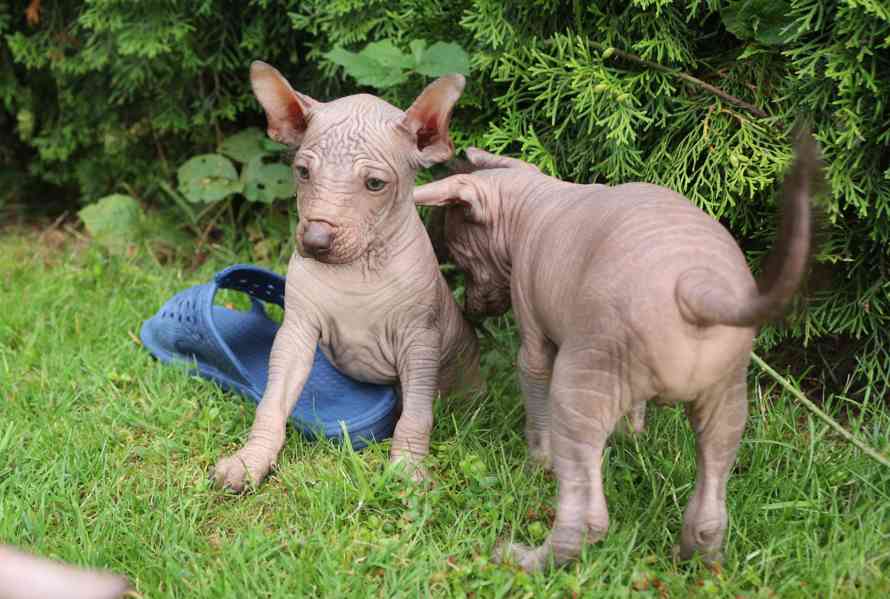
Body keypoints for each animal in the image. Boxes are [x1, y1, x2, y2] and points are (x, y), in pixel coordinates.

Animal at [212, 63, 482, 490]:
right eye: (303, 172)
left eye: (375, 184)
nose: (315, 239)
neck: (357, 271)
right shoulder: (297, 332)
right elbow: (272, 402)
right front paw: (250, 459)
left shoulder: (420, 342)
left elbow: (416, 414)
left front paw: (409, 467)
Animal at [412, 136, 824, 572]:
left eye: (460, 256)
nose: (469, 309)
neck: (535, 198)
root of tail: (693, 289)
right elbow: (635, 412)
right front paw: (632, 433)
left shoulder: (535, 345)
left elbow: (536, 404)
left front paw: (537, 462)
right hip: (724, 394)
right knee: (711, 510)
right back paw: (697, 563)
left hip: (577, 385)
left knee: (586, 518)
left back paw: (523, 559)